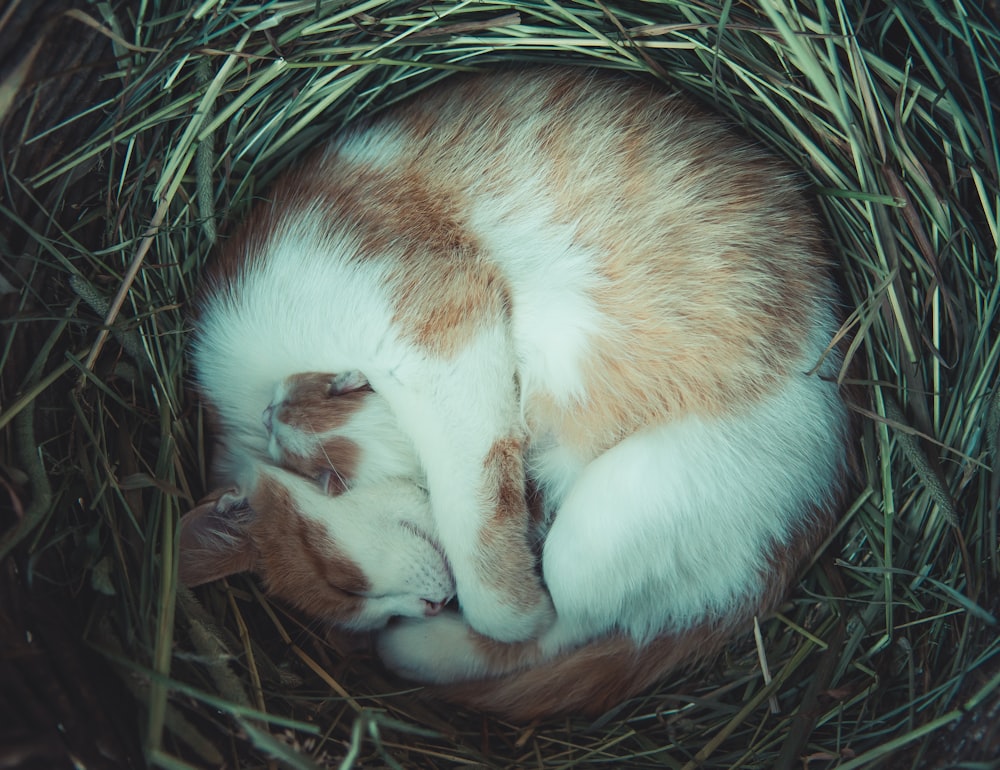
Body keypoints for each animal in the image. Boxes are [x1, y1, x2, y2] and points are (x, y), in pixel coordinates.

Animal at [178, 67, 852, 720]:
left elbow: (477, 525)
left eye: (342, 581)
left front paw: (507, 604)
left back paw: (435, 643)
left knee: (573, 621)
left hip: (607, 521)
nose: (425, 606)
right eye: (359, 605)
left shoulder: (436, 333)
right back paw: (422, 650)